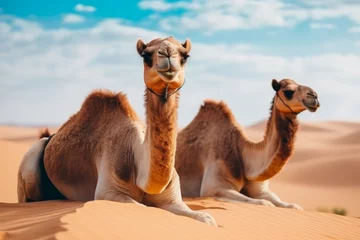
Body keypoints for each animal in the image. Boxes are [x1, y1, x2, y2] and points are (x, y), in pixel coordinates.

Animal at [17, 36, 217, 226]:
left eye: (185, 55)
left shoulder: (173, 199)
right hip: (30, 167)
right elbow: (144, 208)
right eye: (146, 55)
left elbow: (207, 219)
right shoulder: (107, 191)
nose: (167, 53)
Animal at [176, 79, 320, 209]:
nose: (314, 96)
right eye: (288, 92)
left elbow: (291, 205)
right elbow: (264, 203)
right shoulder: (212, 188)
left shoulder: (262, 190)